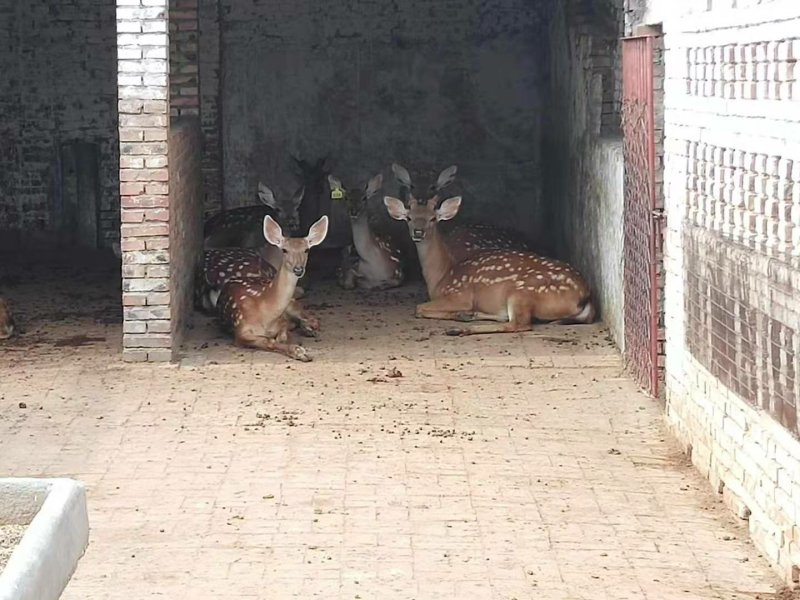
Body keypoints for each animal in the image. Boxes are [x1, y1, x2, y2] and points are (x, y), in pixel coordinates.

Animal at [216, 214, 328, 361]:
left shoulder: (281, 320)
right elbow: (268, 341)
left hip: (292, 304)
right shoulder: (241, 330)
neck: (266, 313)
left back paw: (309, 330)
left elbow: (282, 332)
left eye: (306, 250)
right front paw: (299, 351)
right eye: (284, 250)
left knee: (311, 319)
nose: (298, 269)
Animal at [384, 193, 595, 336]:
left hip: (522, 293)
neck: (442, 275)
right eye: (409, 218)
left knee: (518, 324)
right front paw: (462, 314)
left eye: (433, 218)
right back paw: (468, 317)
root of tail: (584, 295)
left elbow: (419, 308)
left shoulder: (460, 294)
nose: (418, 232)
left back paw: (460, 328)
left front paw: (456, 314)